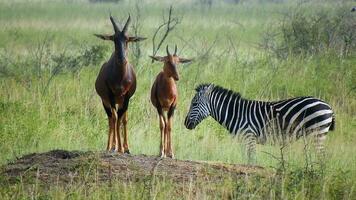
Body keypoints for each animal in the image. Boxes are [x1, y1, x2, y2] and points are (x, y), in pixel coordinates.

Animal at [94, 15, 146, 153]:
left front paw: (123, 148)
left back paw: (126, 147)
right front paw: (116, 147)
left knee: (123, 119)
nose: (122, 59)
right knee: (111, 119)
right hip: (106, 102)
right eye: (114, 39)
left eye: (127, 39)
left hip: (121, 101)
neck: (120, 78)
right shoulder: (110, 97)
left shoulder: (127, 98)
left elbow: (122, 119)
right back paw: (109, 146)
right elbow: (115, 118)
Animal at [185, 83, 336, 163]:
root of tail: (328, 105)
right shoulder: (243, 140)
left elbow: (252, 160)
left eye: (194, 104)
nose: (185, 123)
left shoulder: (249, 137)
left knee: (322, 158)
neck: (236, 113)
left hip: (317, 132)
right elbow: (246, 160)